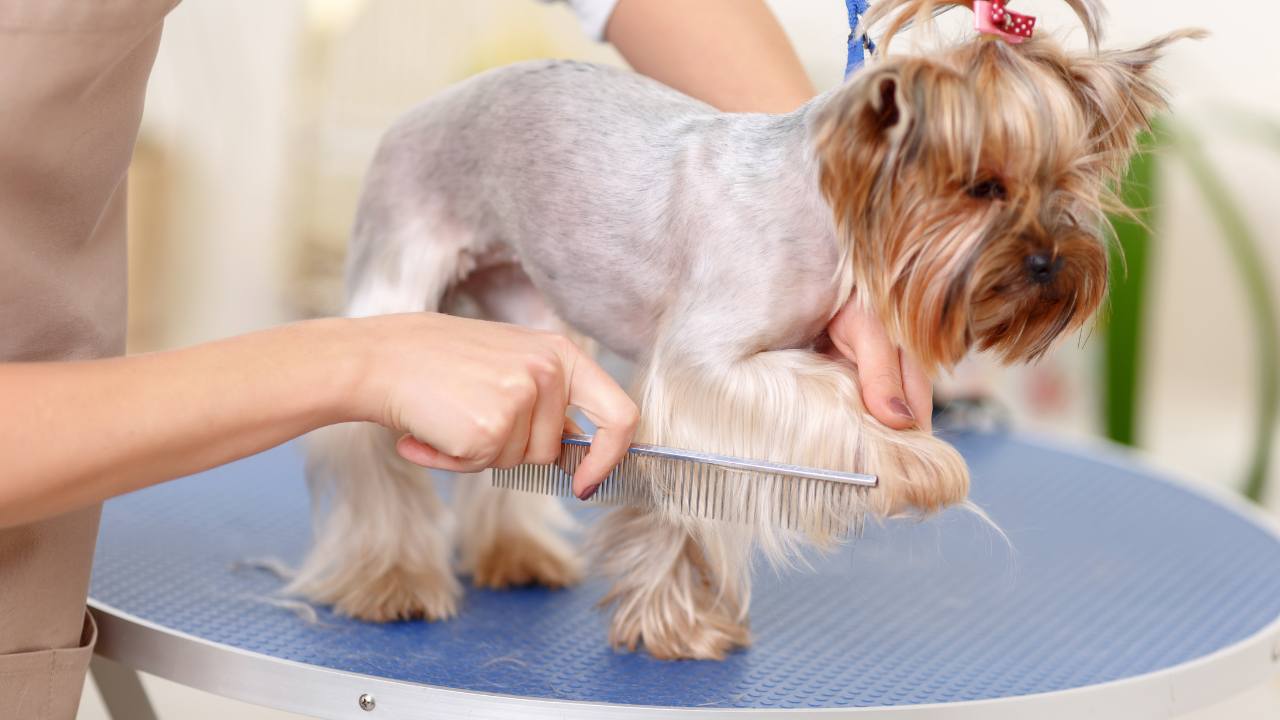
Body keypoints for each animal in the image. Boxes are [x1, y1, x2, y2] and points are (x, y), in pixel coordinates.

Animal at [293, 0, 1198, 661]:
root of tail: (413, 114)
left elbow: (688, 507)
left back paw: (515, 556)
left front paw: (676, 625)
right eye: (983, 186)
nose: (1054, 263)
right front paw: (919, 460)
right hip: (398, 280)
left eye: (1068, 182)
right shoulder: (706, 367)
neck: (830, 211)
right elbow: (827, 401)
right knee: (370, 450)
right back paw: (392, 582)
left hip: (532, 320)